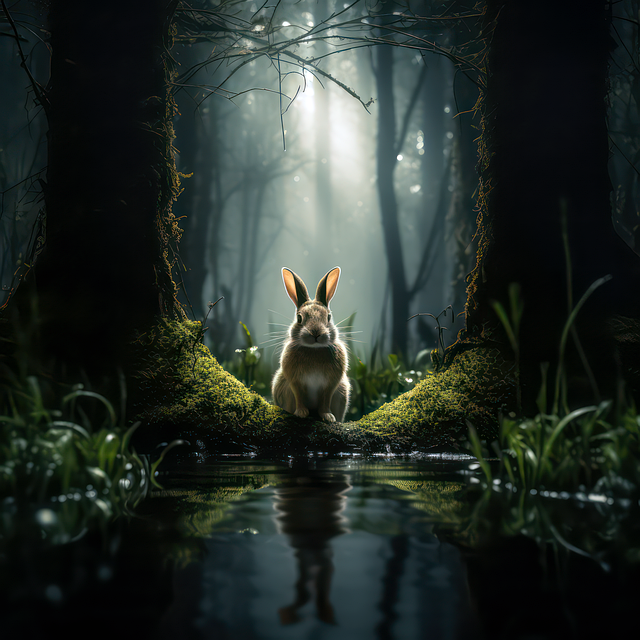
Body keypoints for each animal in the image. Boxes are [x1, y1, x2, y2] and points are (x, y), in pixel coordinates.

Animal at [272, 266, 350, 423]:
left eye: (329, 317)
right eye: (299, 318)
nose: (316, 333)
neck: (314, 350)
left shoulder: (331, 384)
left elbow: (325, 400)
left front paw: (328, 417)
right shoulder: (295, 381)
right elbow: (299, 396)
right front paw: (301, 413)